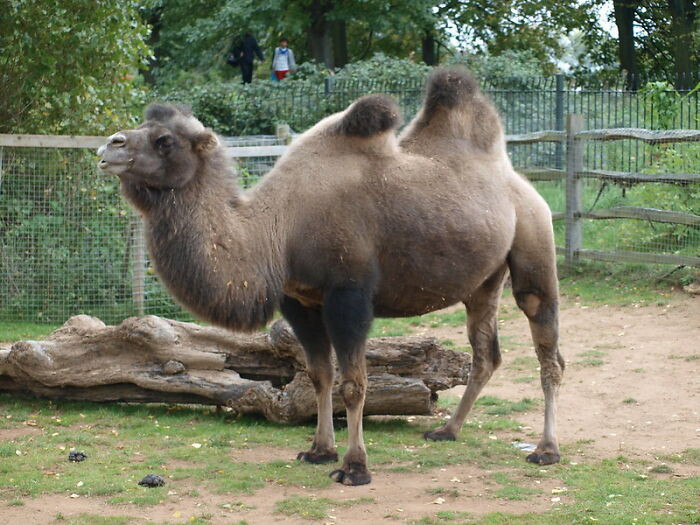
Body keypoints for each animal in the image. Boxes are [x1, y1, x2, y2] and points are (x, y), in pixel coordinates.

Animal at [97, 68, 564, 486]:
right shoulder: (300, 300)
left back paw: (546, 450)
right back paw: (447, 430)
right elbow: (319, 375)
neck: (279, 230)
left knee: (547, 348)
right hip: (483, 280)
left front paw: (355, 468)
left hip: (535, 243)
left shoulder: (348, 294)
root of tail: (519, 182)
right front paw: (319, 450)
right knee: (486, 352)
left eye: (165, 141)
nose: (110, 145)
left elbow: (354, 383)